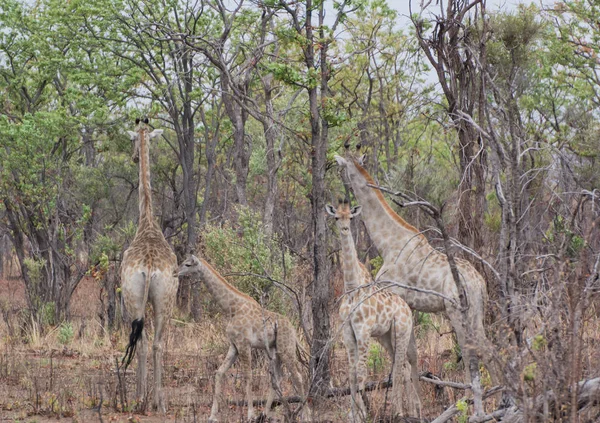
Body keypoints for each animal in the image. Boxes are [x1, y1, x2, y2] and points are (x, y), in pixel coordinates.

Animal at [175, 255, 310, 423]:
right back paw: (265, 413)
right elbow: (219, 373)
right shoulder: (234, 345)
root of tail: (294, 331)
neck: (231, 307)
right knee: (278, 377)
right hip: (276, 350)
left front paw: (250, 415)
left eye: (187, 264)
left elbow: (248, 376)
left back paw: (305, 414)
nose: (174, 272)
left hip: (286, 349)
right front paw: (212, 416)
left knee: (298, 376)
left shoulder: (244, 345)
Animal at [326, 201, 420, 420]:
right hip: (385, 337)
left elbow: (361, 372)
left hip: (401, 332)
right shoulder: (348, 332)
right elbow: (351, 373)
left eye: (351, 218)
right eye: (337, 217)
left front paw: (363, 415)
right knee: (403, 366)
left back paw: (398, 411)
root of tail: (407, 308)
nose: (345, 229)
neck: (352, 289)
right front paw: (353, 414)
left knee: (400, 366)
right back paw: (410, 410)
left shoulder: (363, 330)